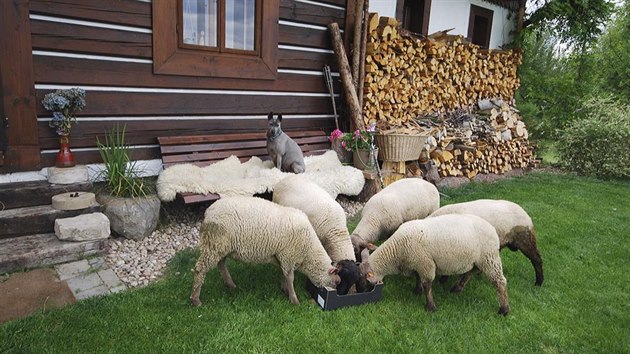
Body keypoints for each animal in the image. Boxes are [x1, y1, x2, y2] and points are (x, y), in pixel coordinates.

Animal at [189, 195, 356, 306]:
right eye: (337, 281)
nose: (341, 295)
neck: (308, 251)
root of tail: (209, 211)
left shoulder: (283, 257)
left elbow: (283, 274)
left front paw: (284, 289)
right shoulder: (289, 256)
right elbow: (290, 278)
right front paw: (294, 299)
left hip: (221, 246)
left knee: (221, 264)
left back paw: (230, 284)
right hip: (213, 244)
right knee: (200, 270)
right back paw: (196, 299)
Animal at [358, 213, 512, 316]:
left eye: (364, 281)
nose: (361, 293)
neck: (397, 251)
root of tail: (492, 228)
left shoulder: (425, 263)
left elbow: (427, 285)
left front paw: (430, 307)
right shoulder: (418, 263)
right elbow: (418, 278)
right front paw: (416, 291)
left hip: (489, 257)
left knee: (500, 282)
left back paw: (504, 309)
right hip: (476, 260)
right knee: (470, 273)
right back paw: (457, 288)